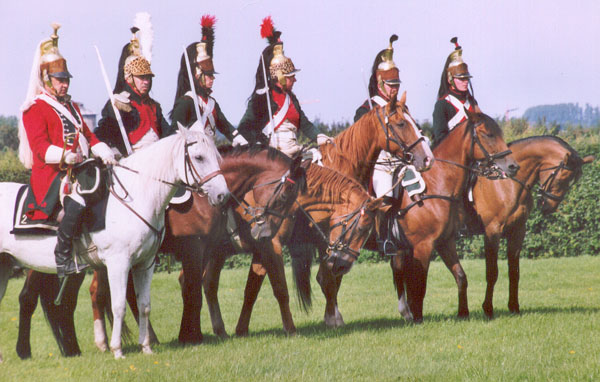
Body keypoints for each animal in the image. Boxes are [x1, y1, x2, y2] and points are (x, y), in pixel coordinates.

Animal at [0, 124, 229, 360]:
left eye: (217, 156)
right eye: (199, 157)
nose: (223, 195)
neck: (137, 194)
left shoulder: (145, 264)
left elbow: (144, 304)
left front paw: (146, 347)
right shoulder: (119, 263)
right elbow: (119, 305)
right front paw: (117, 349)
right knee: (31, 299)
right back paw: (28, 351)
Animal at [468, 136, 596, 318]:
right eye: (562, 178)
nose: (549, 207)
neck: (506, 183)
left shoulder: (518, 231)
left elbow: (514, 272)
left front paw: (514, 307)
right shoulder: (492, 232)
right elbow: (492, 273)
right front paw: (488, 309)